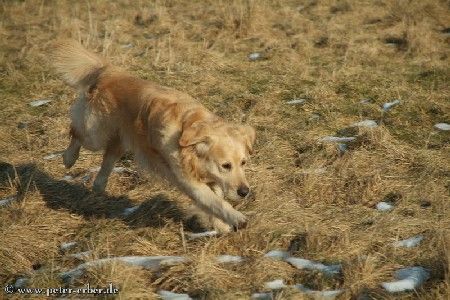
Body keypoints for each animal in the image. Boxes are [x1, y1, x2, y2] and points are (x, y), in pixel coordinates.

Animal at [51, 39, 255, 232]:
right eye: (226, 165)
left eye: (243, 163)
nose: (245, 192)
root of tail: (110, 71)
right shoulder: (188, 180)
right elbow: (215, 202)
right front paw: (237, 218)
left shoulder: (211, 179)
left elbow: (214, 201)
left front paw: (220, 224)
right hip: (95, 133)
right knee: (77, 132)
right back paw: (69, 158)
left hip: (120, 140)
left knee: (107, 160)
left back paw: (99, 187)